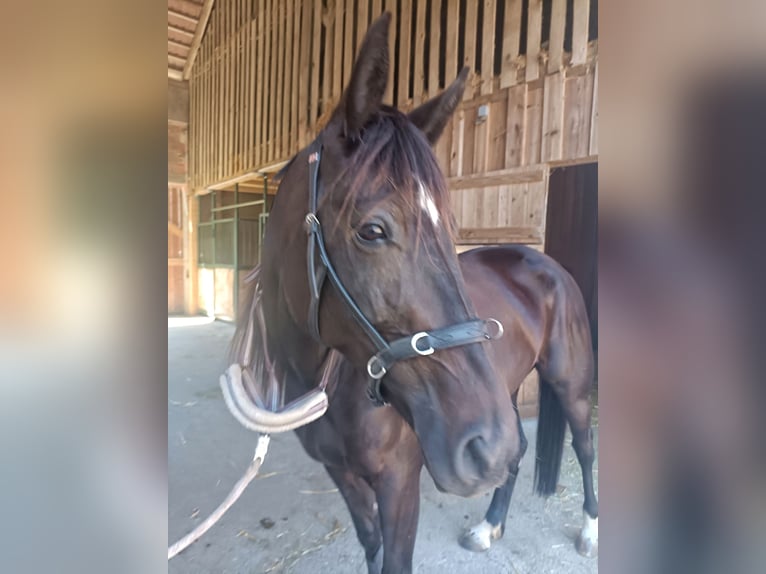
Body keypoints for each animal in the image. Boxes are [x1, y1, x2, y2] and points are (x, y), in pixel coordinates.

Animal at [231, 13, 597, 574]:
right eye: (372, 230)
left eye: (450, 225)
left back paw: (590, 531)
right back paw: (489, 525)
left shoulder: (400, 482)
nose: (481, 446)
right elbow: (372, 548)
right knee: (515, 455)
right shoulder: (347, 479)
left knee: (584, 445)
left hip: (567, 384)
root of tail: (547, 263)